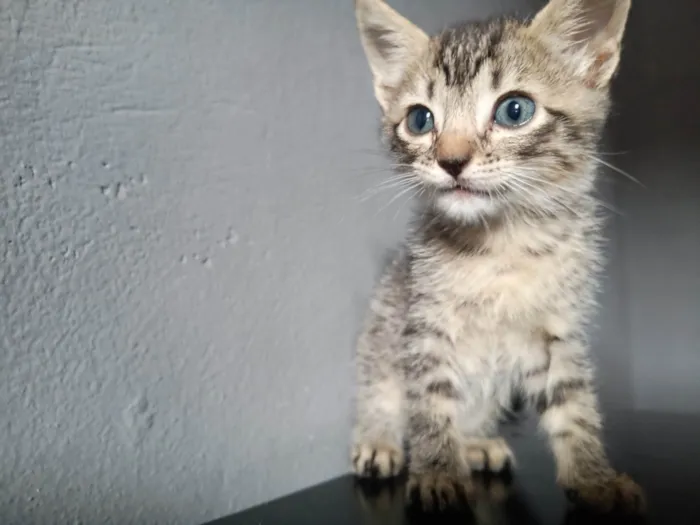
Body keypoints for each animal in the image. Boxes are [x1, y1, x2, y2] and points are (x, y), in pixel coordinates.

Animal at [350, 0, 644, 512]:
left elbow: (573, 405)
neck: (502, 244)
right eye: (420, 120)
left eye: (514, 110)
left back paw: (474, 442)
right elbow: (429, 404)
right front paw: (437, 474)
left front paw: (594, 478)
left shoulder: (556, 331)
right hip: (383, 322)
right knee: (379, 389)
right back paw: (379, 440)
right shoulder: (424, 326)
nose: (450, 160)